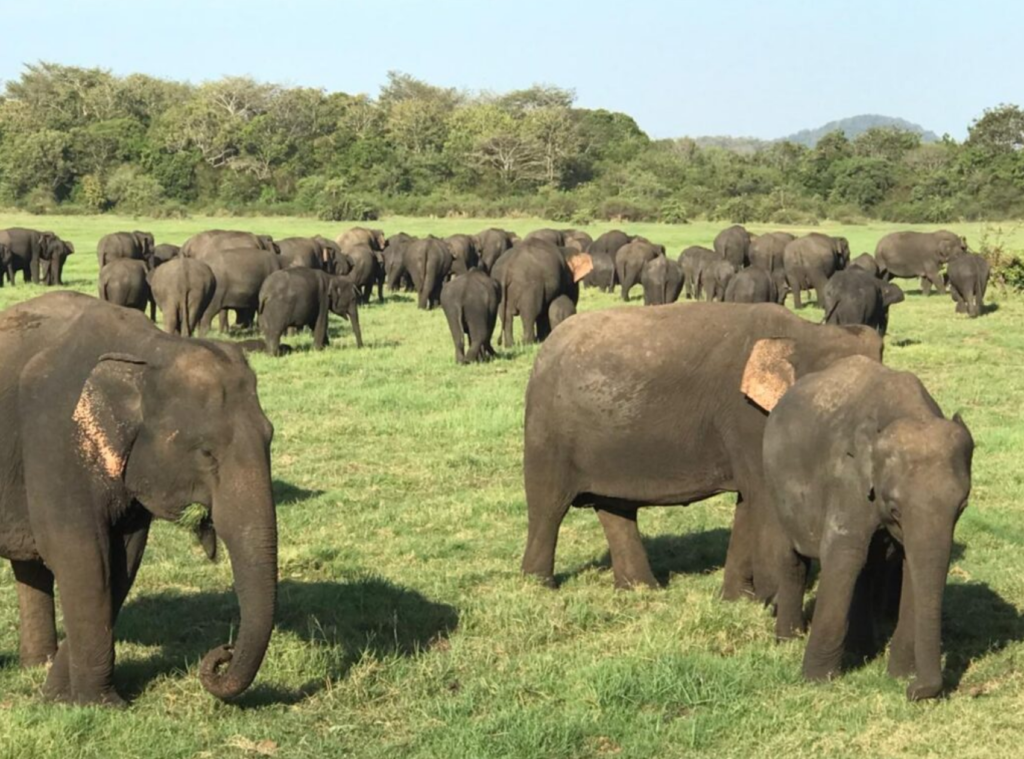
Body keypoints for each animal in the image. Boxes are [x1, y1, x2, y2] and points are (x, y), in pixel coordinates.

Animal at [0, 291, 277, 705]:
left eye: (270, 436)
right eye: (206, 452)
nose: (223, 652)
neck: (149, 350)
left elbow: (122, 560)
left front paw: (57, 695)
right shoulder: (54, 438)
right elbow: (80, 554)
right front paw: (99, 704)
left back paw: (37, 665)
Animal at [520, 302, 883, 598]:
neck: (808, 332)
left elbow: (748, 502)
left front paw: (737, 599)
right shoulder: (746, 415)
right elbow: (762, 496)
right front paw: (768, 601)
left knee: (614, 507)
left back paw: (641, 590)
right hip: (546, 429)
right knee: (548, 505)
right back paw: (540, 587)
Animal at [763, 355, 973, 700]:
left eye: (962, 508)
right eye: (895, 509)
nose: (915, 692)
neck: (908, 410)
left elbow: (909, 563)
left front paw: (899, 674)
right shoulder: (847, 477)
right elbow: (843, 555)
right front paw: (816, 681)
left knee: (868, 565)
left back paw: (861, 649)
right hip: (774, 480)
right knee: (791, 557)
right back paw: (788, 639)